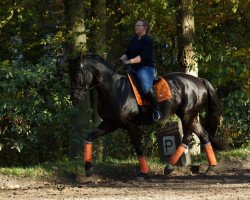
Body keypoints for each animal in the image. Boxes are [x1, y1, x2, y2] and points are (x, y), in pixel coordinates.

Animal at [68, 54, 221, 177]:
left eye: (76, 74)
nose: (74, 98)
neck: (114, 88)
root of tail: (199, 81)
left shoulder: (130, 125)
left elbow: (138, 147)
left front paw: (144, 172)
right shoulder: (110, 124)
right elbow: (89, 137)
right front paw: (88, 169)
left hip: (187, 115)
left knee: (187, 138)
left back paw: (169, 167)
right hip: (191, 116)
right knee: (204, 135)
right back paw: (211, 168)